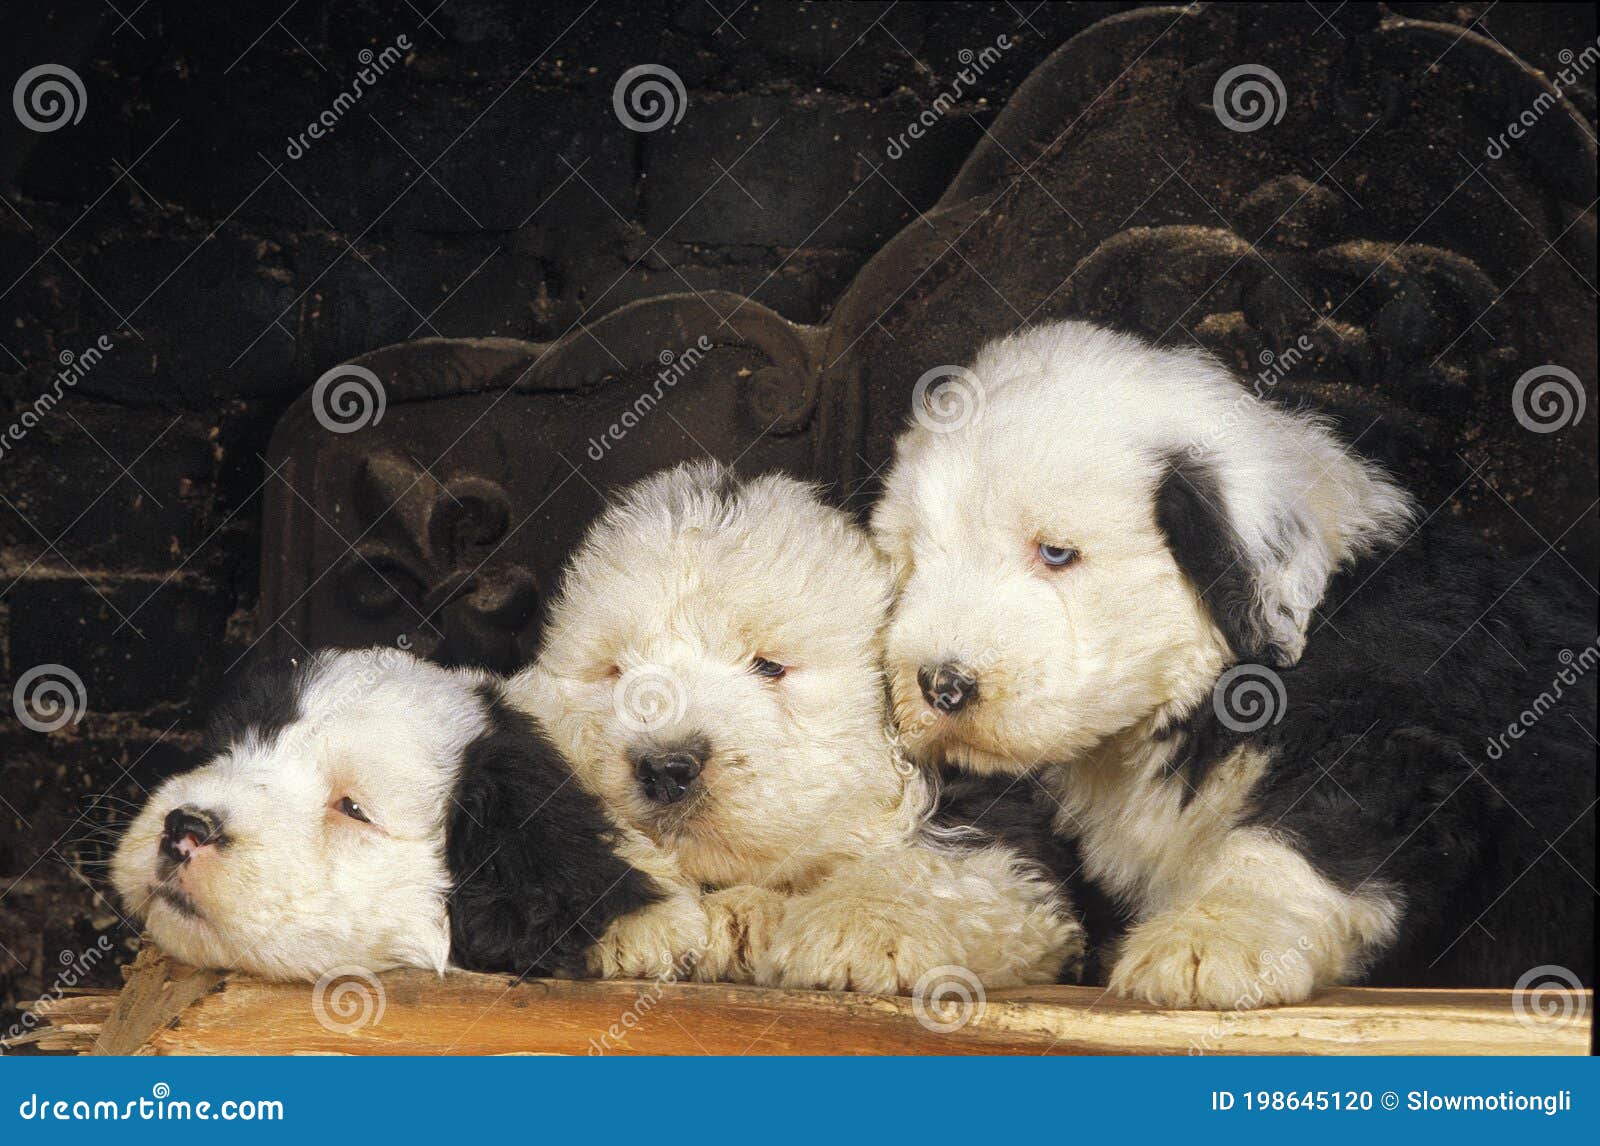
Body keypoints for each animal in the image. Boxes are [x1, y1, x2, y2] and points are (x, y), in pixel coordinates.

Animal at [515, 457, 1088, 992]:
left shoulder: (1008, 840)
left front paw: (856, 926)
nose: (664, 768)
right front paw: (639, 914)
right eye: (615, 671)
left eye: (770, 667)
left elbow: (938, 866)